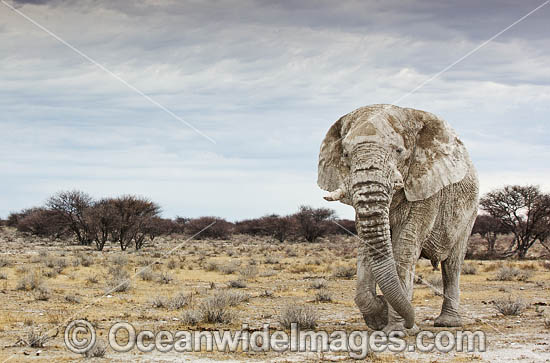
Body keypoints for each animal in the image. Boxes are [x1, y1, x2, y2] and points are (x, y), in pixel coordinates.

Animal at [320, 103, 478, 332]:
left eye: (399, 151)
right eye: (346, 154)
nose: (411, 323)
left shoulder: (427, 188)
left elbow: (404, 248)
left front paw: (397, 330)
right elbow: (368, 247)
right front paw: (379, 317)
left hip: (470, 213)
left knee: (452, 264)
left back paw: (447, 323)